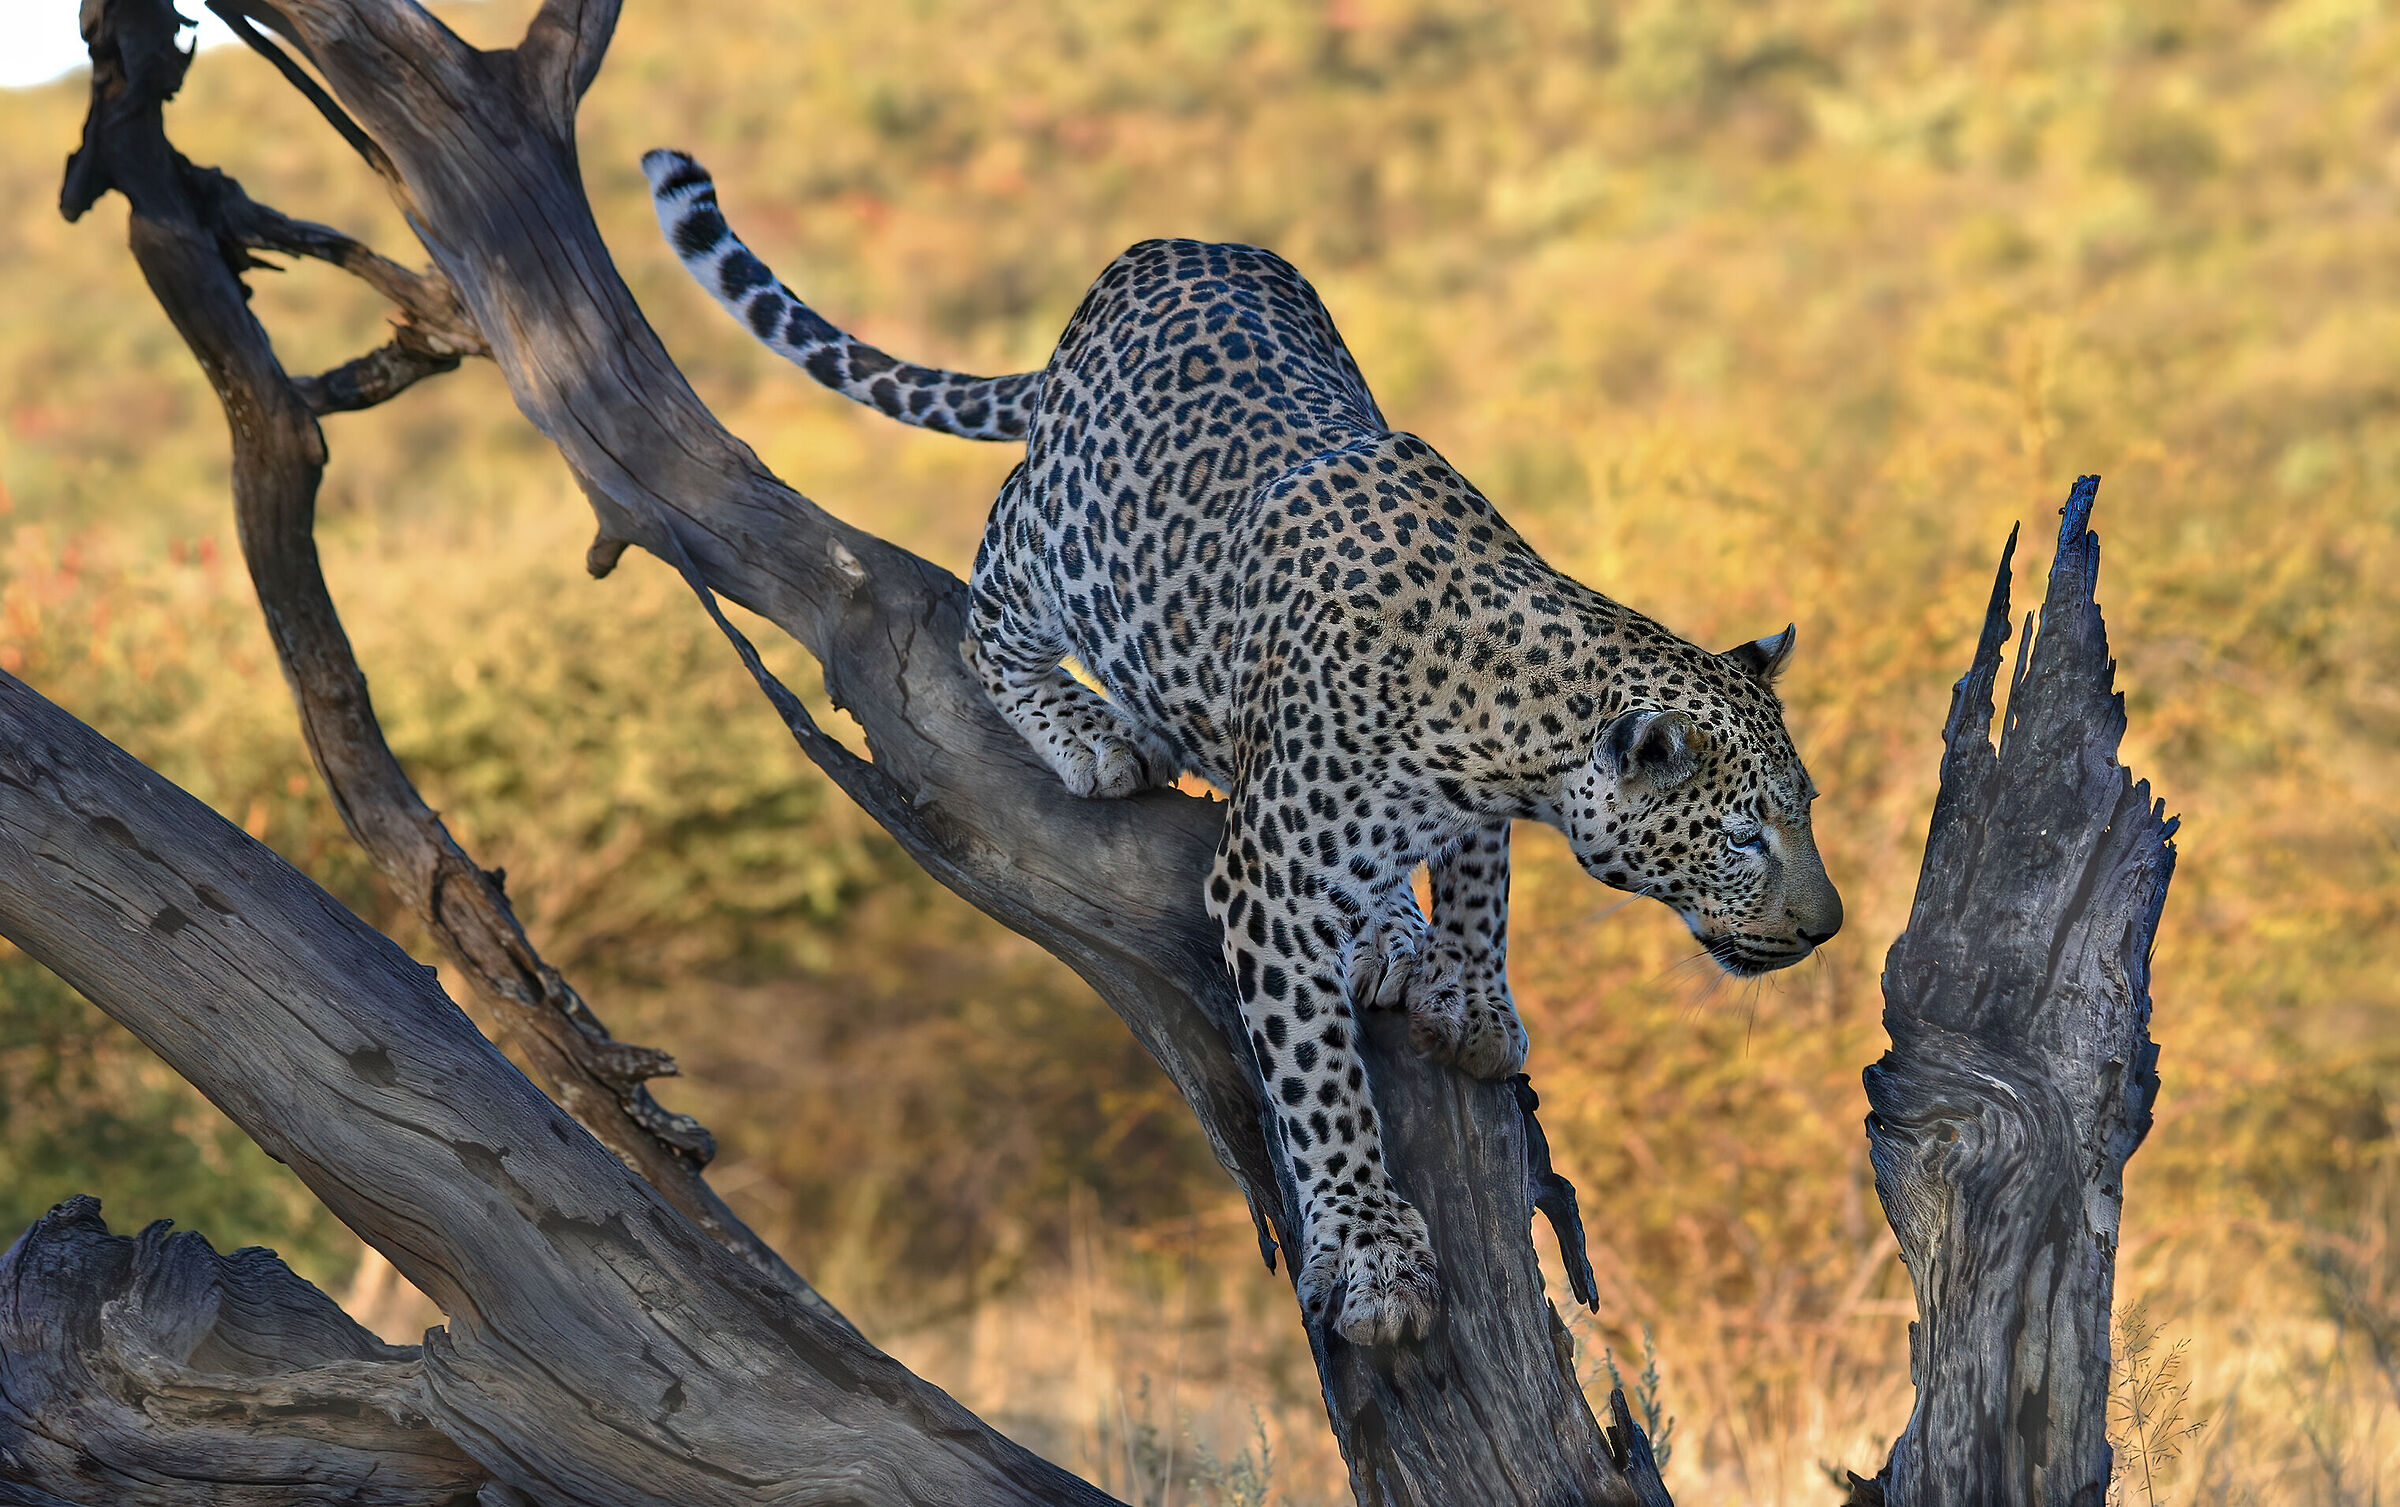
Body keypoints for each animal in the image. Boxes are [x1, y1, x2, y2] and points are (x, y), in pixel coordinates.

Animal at [644, 149, 1843, 1347]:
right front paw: (1371, 1250)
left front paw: (1470, 994)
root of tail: (1150, 253)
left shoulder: (1469, 804)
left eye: (1807, 809)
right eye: (1744, 835)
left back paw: (1384, 924)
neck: (1503, 703)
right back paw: (1092, 733)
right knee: (990, 604)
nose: (1826, 926)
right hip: (1052, 542)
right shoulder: (1267, 879)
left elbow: (1480, 878)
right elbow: (1316, 1074)